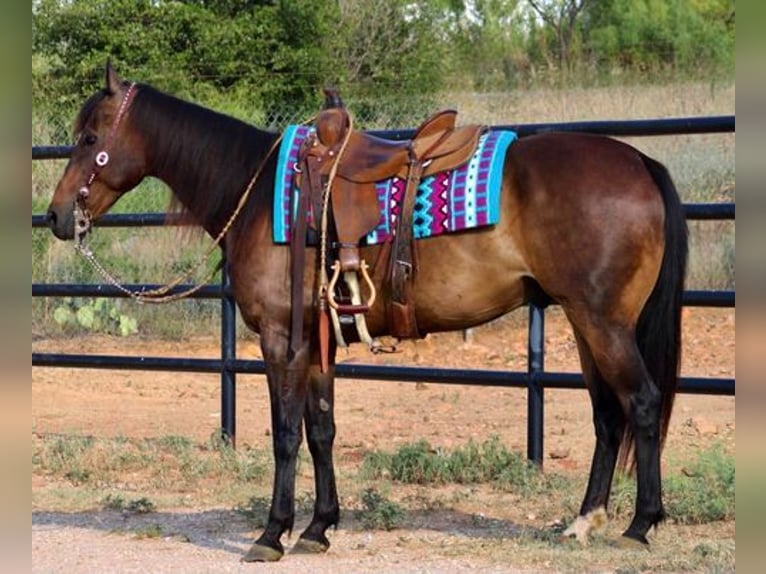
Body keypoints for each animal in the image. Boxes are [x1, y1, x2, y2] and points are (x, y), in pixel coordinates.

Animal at [43, 64, 688, 564]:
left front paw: (272, 534)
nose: (55, 215)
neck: (258, 195)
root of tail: (640, 162)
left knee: (641, 403)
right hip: (585, 324)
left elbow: (285, 434)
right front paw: (319, 527)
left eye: (91, 136)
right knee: (607, 416)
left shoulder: (280, 340)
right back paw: (584, 521)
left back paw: (639, 526)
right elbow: (322, 430)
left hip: (603, 324)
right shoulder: (316, 341)